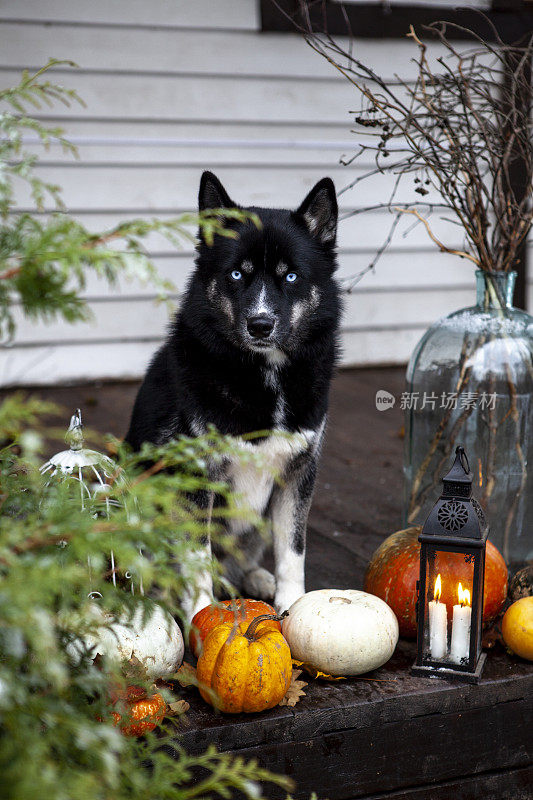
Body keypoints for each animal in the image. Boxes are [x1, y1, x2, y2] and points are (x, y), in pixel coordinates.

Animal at [127, 172, 338, 620]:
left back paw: (257, 579)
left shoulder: (299, 473)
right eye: (238, 274)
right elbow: (195, 556)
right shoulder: (195, 478)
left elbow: (293, 549)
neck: (263, 374)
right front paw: (200, 614)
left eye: (290, 276)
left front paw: (292, 603)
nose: (260, 325)